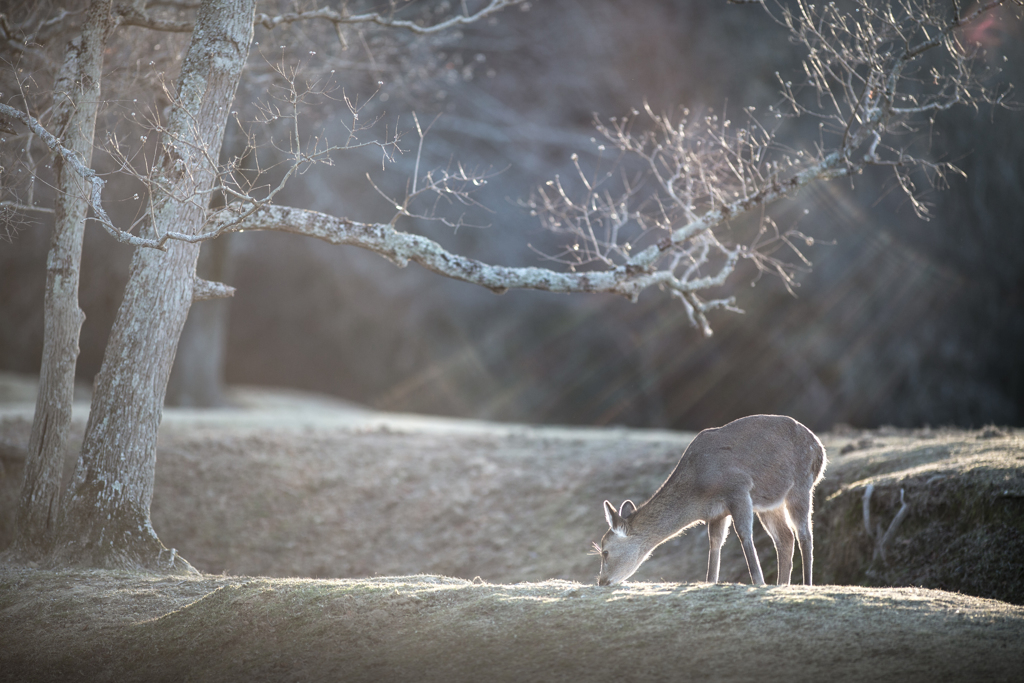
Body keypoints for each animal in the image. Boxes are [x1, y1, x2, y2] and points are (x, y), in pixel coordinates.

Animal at [598, 417, 827, 589]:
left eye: (605, 551)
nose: (601, 581)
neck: (699, 493)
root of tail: (820, 449)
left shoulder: (739, 489)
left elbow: (744, 533)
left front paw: (758, 582)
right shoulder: (716, 512)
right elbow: (715, 542)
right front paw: (710, 581)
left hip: (801, 484)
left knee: (804, 534)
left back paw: (806, 584)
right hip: (770, 503)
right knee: (785, 537)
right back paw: (782, 584)